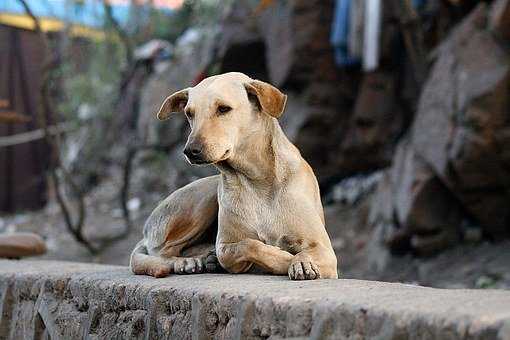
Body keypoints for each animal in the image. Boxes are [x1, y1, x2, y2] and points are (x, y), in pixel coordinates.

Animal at [130, 71, 338, 278]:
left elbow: (305, 252)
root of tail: (145, 232)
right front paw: (285, 258)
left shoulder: (325, 250)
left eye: (223, 109)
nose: (190, 151)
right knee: (164, 251)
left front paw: (302, 262)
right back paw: (189, 261)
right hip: (201, 201)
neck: (256, 181)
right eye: (190, 113)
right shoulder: (226, 246)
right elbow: (247, 245)